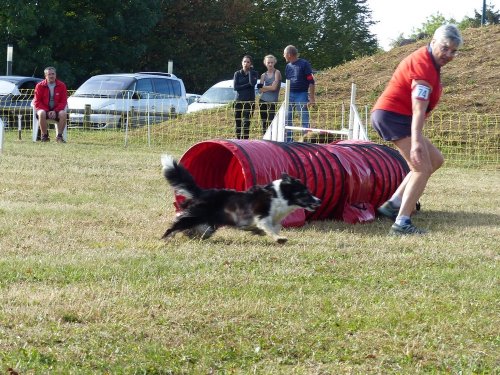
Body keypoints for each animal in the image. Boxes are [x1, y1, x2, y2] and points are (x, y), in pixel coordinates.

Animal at [162, 155, 322, 245]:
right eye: (305, 193)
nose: (319, 200)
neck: (279, 196)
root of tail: (201, 192)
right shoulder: (261, 215)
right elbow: (270, 228)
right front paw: (279, 239)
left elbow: (275, 226)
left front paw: (258, 232)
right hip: (194, 216)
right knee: (176, 224)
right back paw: (165, 239)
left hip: (207, 224)